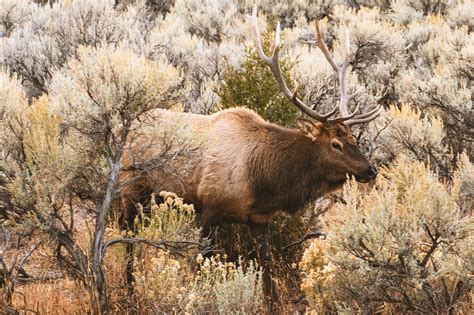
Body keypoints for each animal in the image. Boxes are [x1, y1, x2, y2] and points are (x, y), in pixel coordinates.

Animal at [118, 5, 382, 304]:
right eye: (336, 144)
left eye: (354, 138)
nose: (370, 169)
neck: (263, 181)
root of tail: (124, 128)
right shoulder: (210, 205)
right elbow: (200, 260)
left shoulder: (259, 218)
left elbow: (266, 266)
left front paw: (271, 301)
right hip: (132, 188)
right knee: (127, 232)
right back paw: (129, 288)